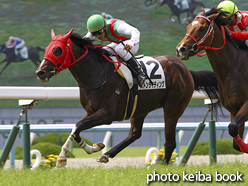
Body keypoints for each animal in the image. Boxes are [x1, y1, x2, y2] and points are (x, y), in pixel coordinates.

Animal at [35, 28, 219, 166]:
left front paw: (61, 158)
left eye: (57, 50)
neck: (96, 74)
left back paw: (163, 167)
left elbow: (78, 125)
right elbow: (76, 128)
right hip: (140, 108)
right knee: (135, 134)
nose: (40, 72)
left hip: (173, 108)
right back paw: (107, 154)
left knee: (170, 142)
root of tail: (186, 70)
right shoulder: (91, 111)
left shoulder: (106, 114)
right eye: (47, 48)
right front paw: (94, 148)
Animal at [176, 7, 248, 153]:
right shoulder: (234, 109)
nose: (181, 49)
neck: (234, 68)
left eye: (201, 29)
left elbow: (232, 128)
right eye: (187, 26)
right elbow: (235, 141)